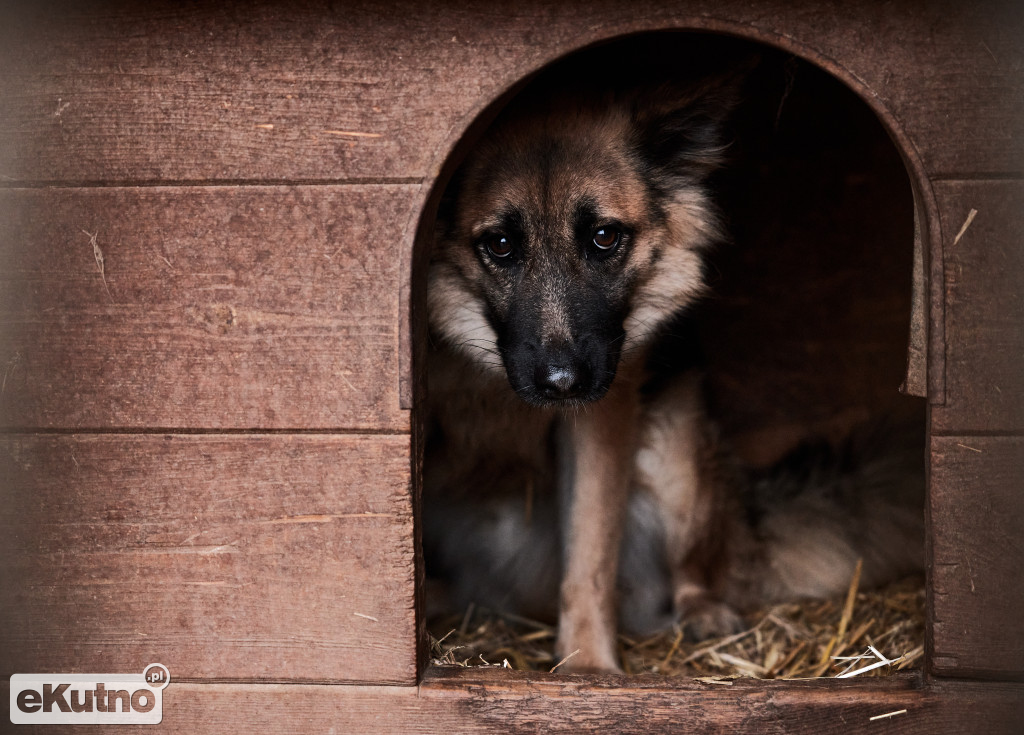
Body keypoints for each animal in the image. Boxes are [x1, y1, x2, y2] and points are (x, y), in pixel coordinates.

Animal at [419, 43, 925, 675]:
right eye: (502, 245)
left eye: (605, 237)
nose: (563, 384)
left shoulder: (602, 418)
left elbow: (589, 559)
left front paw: (587, 669)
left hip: (677, 447)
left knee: (691, 571)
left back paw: (702, 611)